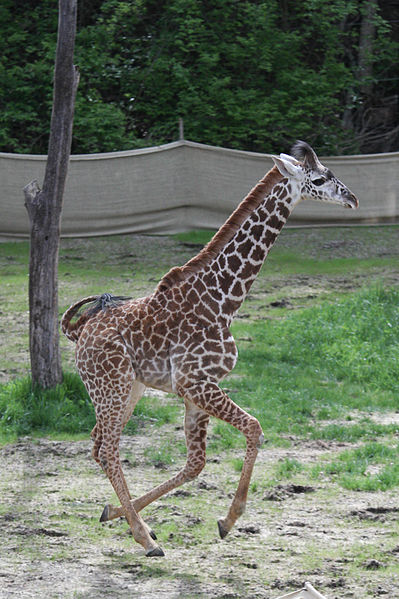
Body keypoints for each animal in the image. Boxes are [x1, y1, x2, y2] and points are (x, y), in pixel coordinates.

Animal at [61, 142, 360, 556]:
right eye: (318, 179)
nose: (352, 198)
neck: (224, 300)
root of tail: (80, 330)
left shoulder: (196, 388)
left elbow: (196, 463)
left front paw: (115, 513)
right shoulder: (196, 383)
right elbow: (254, 428)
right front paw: (228, 520)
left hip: (128, 389)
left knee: (97, 444)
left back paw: (132, 521)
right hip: (111, 386)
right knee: (107, 449)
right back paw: (144, 538)